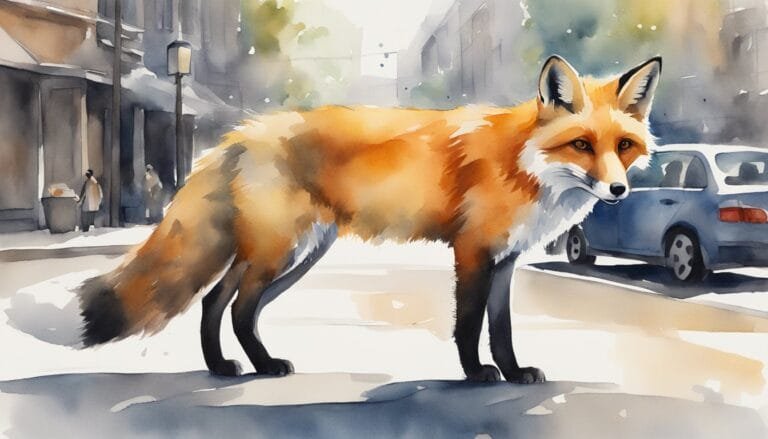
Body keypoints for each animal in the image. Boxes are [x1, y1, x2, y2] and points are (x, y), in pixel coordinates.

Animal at [78, 55, 661, 383]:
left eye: (624, 146)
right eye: (581, 145)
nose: (618, 190)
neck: (524, 163)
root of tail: (243, 132)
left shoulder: (506, 259)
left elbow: (502, 329)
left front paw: (514, 373)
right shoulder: (473, 252)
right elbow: (469, 326)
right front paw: (476, 375)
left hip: (295, 254)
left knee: (219, 303)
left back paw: (227, 366)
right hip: (279, 253)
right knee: (235, 306)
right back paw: (252, 369)